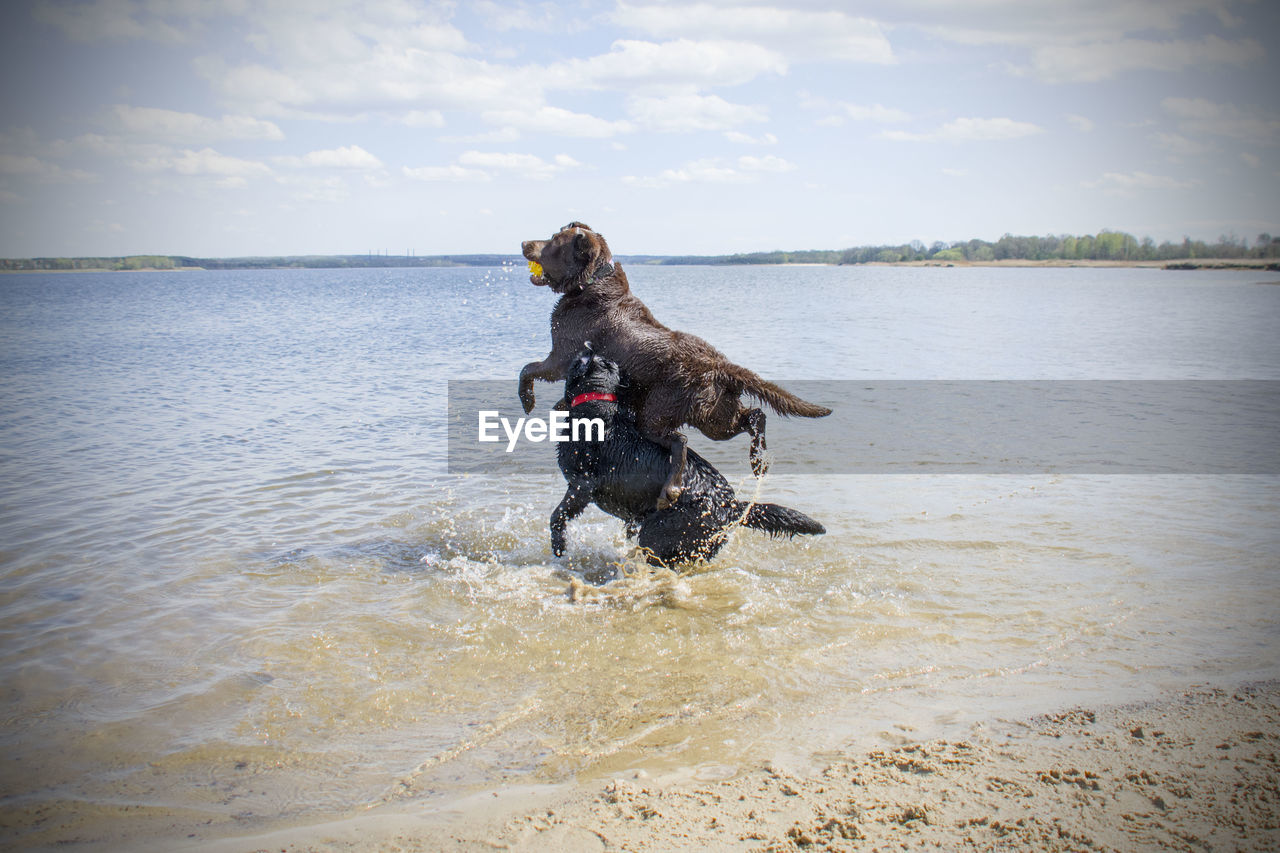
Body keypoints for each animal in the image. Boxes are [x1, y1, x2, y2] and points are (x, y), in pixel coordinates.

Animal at [519, 222, 829, 507]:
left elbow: (528, 368)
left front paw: (527, 400)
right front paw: (556, 404)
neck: (592, 281)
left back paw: (672, 490)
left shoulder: (561, 354)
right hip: (714, 415)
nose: (523, 243)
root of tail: (719, 365)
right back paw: (758, 462)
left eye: (554, 240)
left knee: (681, 440)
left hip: (658, 410)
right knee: (753, 416)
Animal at [547, 345, 824, 563]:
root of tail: (731, 505)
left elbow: (557, 516)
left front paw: (559, 548)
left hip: (659, 531)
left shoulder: (582, 485)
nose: (589, 344)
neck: (596, 401)